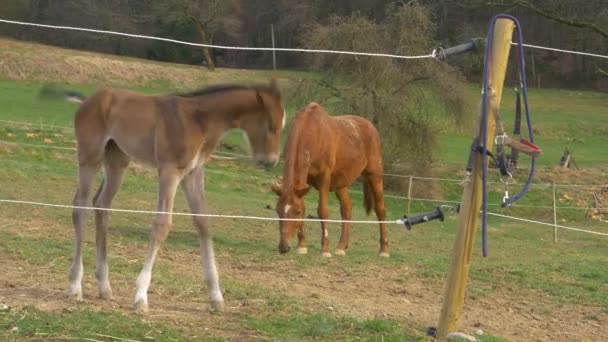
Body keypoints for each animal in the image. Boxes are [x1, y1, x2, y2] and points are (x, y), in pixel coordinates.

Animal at [44, 79, 286, 312]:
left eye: (282, 126)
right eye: (270, 125)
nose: (270, 161)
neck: (199, 121)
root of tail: (89, 100)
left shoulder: (193, 174)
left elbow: (203, 223)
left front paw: (216, 297)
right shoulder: (170, 171)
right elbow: (162, 224)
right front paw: (141, 297)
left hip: (117, 160)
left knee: (101, 204)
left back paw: (104, 286)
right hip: (90, 157)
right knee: (80, 207)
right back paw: (75, 286)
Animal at [272, 103, 390, 258]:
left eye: (296, 212)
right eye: (278, 211)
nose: (283, 247)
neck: (312, 132)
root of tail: (370, 126)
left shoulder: (324, 179)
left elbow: (322, 211)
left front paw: (325, 249)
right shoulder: (304, 181)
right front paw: (302, 245)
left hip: (375, 175)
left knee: (380, 209)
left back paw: (384, 249)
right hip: (341, 183)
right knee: (347, 208)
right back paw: (341, 246)